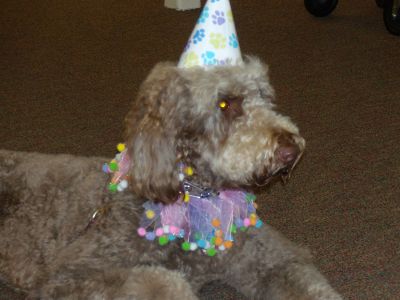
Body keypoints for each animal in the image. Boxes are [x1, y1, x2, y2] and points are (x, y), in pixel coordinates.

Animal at [0, 57, 340, 298]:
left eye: (264, 97)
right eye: (225, 103)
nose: (291, 149)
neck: (193, 198)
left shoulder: (271, 257)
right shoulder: (71, 275)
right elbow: (161, 282)